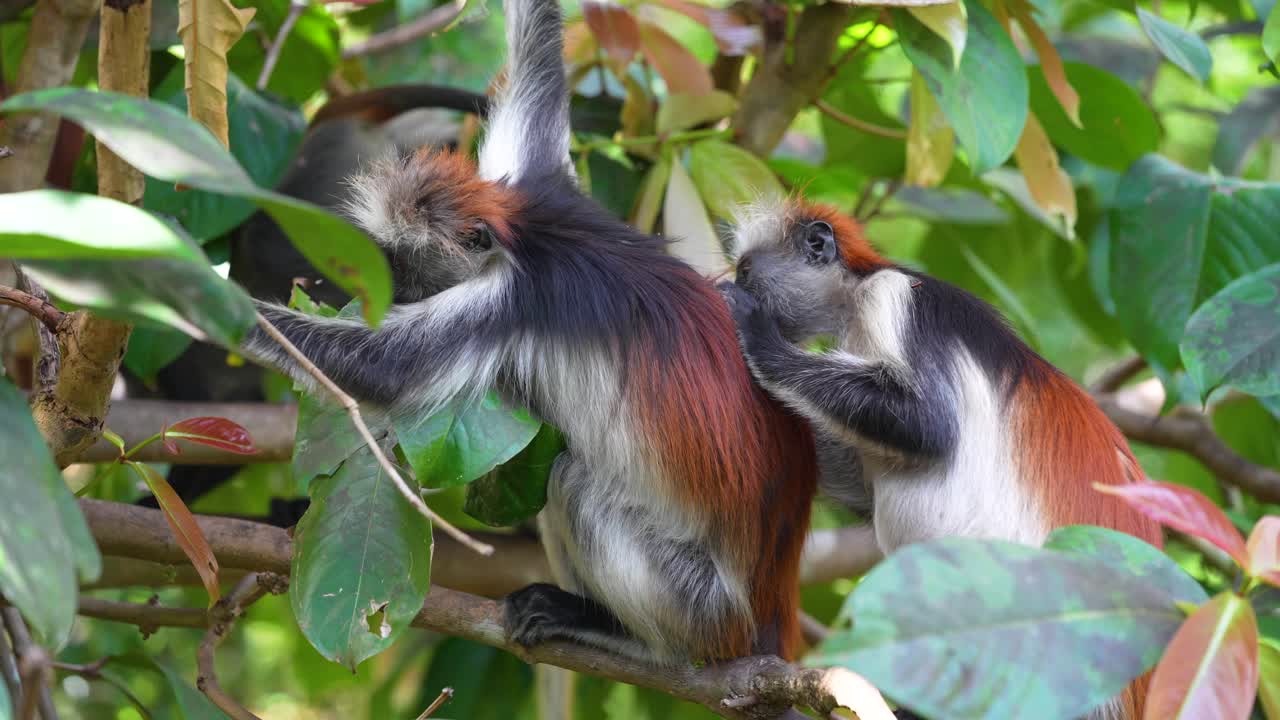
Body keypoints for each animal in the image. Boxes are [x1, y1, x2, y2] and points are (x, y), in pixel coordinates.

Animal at [237, 0, 819, 674]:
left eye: (405, 265)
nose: (394, 295)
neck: (522, 237)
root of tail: (769, 605)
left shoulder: (508, 300)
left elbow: (382, 372)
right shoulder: (539, 186)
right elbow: (537, 70)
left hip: (703, 603)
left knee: (573, 481)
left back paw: (636, 639)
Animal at [719, 202, 1163, 720]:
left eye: (746, 272)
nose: (735, 278)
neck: (855, 288)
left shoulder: (891, 299)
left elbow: (928, 424)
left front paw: (756, 334)